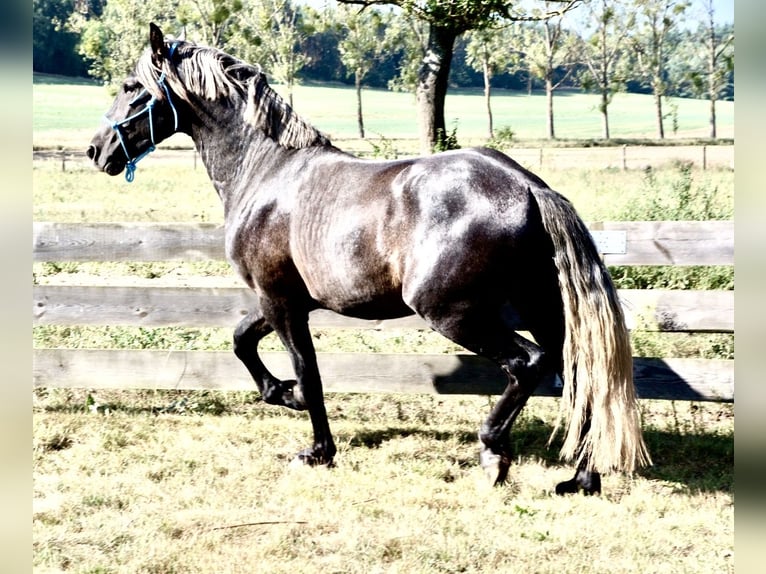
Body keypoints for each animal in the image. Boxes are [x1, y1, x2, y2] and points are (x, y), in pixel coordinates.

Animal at [87, 24, 652, 498]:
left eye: (132, 86)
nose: (97, 150)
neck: (266, 173)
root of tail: (530, 187)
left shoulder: (280, 301)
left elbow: (307, 370)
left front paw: (316, 449)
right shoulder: (283, 300)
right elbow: (243, 341)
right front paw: (284, 395)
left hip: (454, 313)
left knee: (527, 364)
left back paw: (494, 453)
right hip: (542, 311)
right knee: (576, 376)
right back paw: (580, 479)